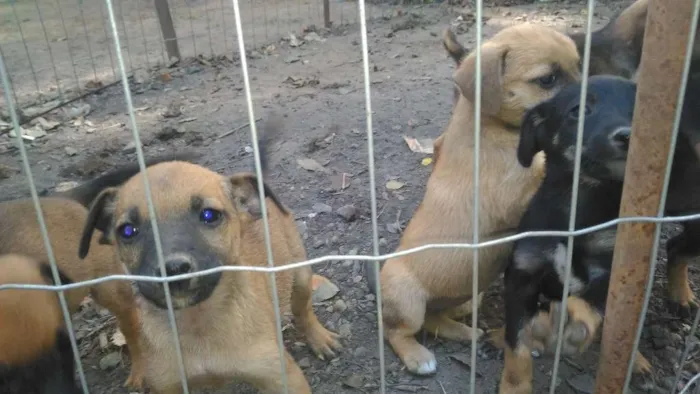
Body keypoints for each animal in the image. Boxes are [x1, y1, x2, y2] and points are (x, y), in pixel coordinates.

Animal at [79, 161, 342, 394]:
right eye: (127, 231)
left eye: (209, 215)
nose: (173, 269)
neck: (198, 323)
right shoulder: (167, 386)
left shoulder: (282, 377)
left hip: (300, 275)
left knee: (303, 309)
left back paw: (320, 339)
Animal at [378, 23, 580, 378]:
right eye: (547, 80)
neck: (490, 124)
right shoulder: (514, 194)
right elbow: (544, 172)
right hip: (408, 300)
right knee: (398, 332)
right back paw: (418, 357)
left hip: (460, 299)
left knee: (435, 320)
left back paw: (465, 332)